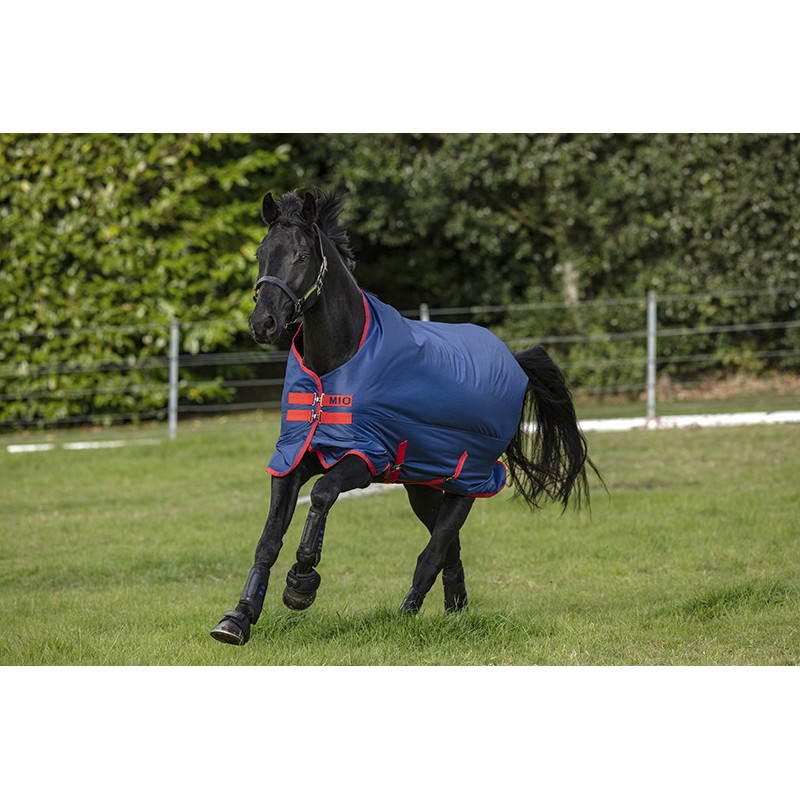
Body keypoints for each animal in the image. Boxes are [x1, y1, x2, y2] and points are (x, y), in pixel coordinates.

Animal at [211, 188, 597, 645]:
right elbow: (268, 538)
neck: (336, 365)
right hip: (422, 484)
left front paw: (301, 585)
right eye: (261, 253)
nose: (263, 323)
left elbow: (322, 494)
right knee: (449, 545)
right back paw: (455, 609)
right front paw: (238, 618)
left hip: (469, 481)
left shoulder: (365, 458)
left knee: (435, 548)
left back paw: (408, 612)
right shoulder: (292, 457)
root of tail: (514, 361)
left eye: (302, 256)